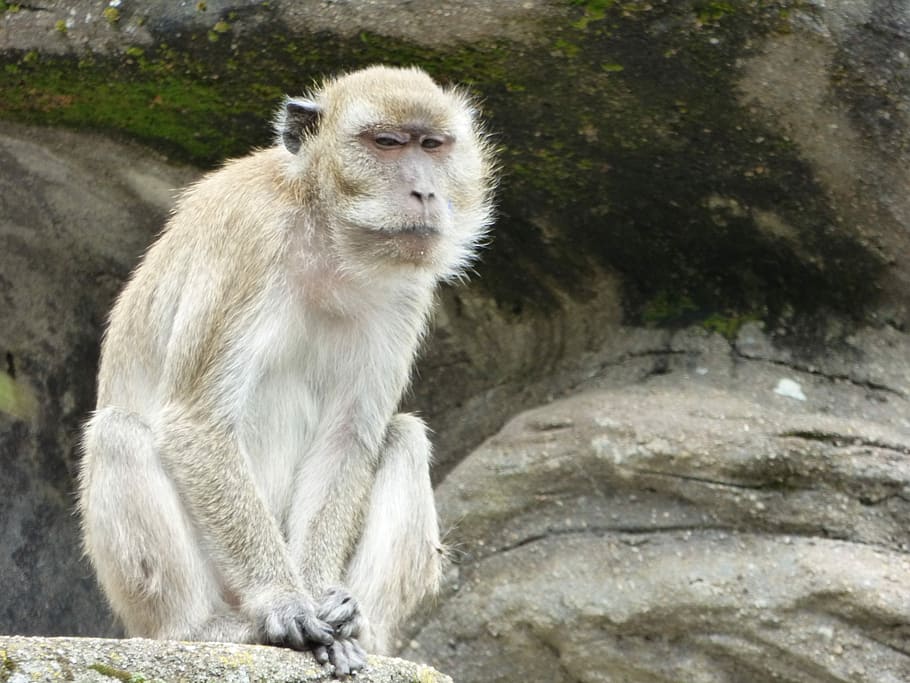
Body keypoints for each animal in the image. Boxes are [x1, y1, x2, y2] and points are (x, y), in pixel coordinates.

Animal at [77, 65, 496, 677]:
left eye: (432, 145)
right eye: (387, 143)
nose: (424, 191)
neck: (324, 234)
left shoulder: (405, 289)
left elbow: (350, 436)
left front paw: (323, 596)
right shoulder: (251, 241)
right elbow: (197, 422)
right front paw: (286, 602)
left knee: (403, 436)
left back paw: (363, 629)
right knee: (118, 433)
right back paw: (207, 629)